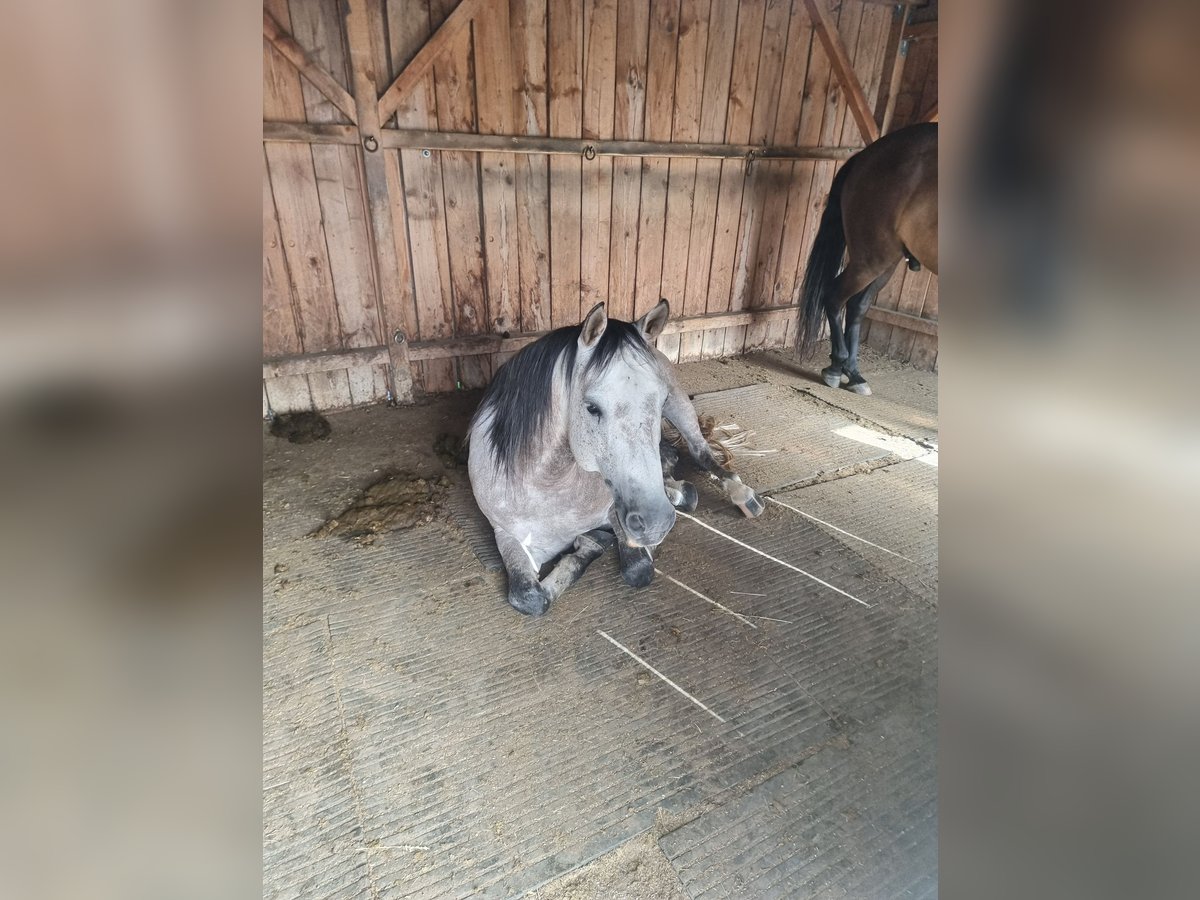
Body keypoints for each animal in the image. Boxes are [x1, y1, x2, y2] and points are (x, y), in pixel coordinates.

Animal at [463, 300, 763, 619]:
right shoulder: (507, 535)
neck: (549, 489)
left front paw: (595, 544)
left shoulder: (615, 514)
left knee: (699, 451)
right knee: (671, 458)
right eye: (592, 407)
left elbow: (638, 569)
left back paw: (740, 494)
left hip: (681, 409)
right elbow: (530, 598)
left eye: (659, 401)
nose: (656, 523)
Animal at [796, 123, 936, 393]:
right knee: (835, 296)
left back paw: (853, 373)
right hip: (873, 257)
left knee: (856, 305)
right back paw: (837, 367)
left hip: (887, 260)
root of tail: (865, 155)